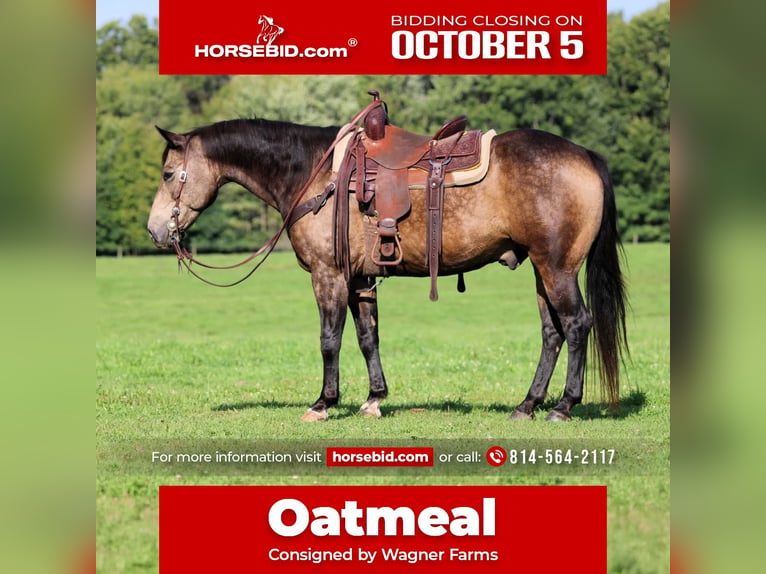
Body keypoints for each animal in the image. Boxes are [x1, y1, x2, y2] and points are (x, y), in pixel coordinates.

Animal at [147, 98, 628, 423]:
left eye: (169, 174)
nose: (155, 231)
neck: (313, 174)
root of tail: (585, 155)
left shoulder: (329, 276)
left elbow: (330, 339)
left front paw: (323, 403)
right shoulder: (360, 279)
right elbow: (367, 338)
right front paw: (374, 398)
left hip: (557, 268)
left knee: (576, 325)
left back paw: (563, 406)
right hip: (541, 270)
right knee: (552, 332)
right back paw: (527, 405)